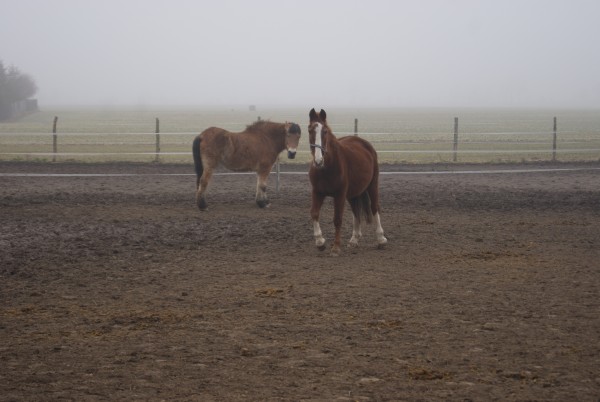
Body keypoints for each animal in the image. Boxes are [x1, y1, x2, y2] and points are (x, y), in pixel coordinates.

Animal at [308, 108, 386, 256]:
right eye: (310, 130)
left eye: (325, 131)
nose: (318, 161)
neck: (327, 167)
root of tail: (364, 143)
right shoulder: (317, 192)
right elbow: (314, 213)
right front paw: (320, 242)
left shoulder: (339, 194)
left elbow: (337, 219)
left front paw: (336, 247)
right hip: (353, 193)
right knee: (356, 211)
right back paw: (354, 239)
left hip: (372, 185)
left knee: (375, 207)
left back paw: (381, 239)